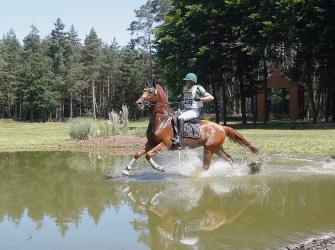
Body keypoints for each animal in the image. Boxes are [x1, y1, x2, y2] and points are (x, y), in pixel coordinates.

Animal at [123, 83, 260, 175]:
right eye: (144, 90)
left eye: (150, 92)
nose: (139, 103)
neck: (161, 120)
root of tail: (220, 126)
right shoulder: (151, 142)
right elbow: (138, 153)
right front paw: (126, 170)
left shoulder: (165, 144)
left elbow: (148, 155)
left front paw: (159, 168)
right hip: (216, 148)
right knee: (229, 159)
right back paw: (235, 171)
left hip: (209, 149)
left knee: (206, 166)